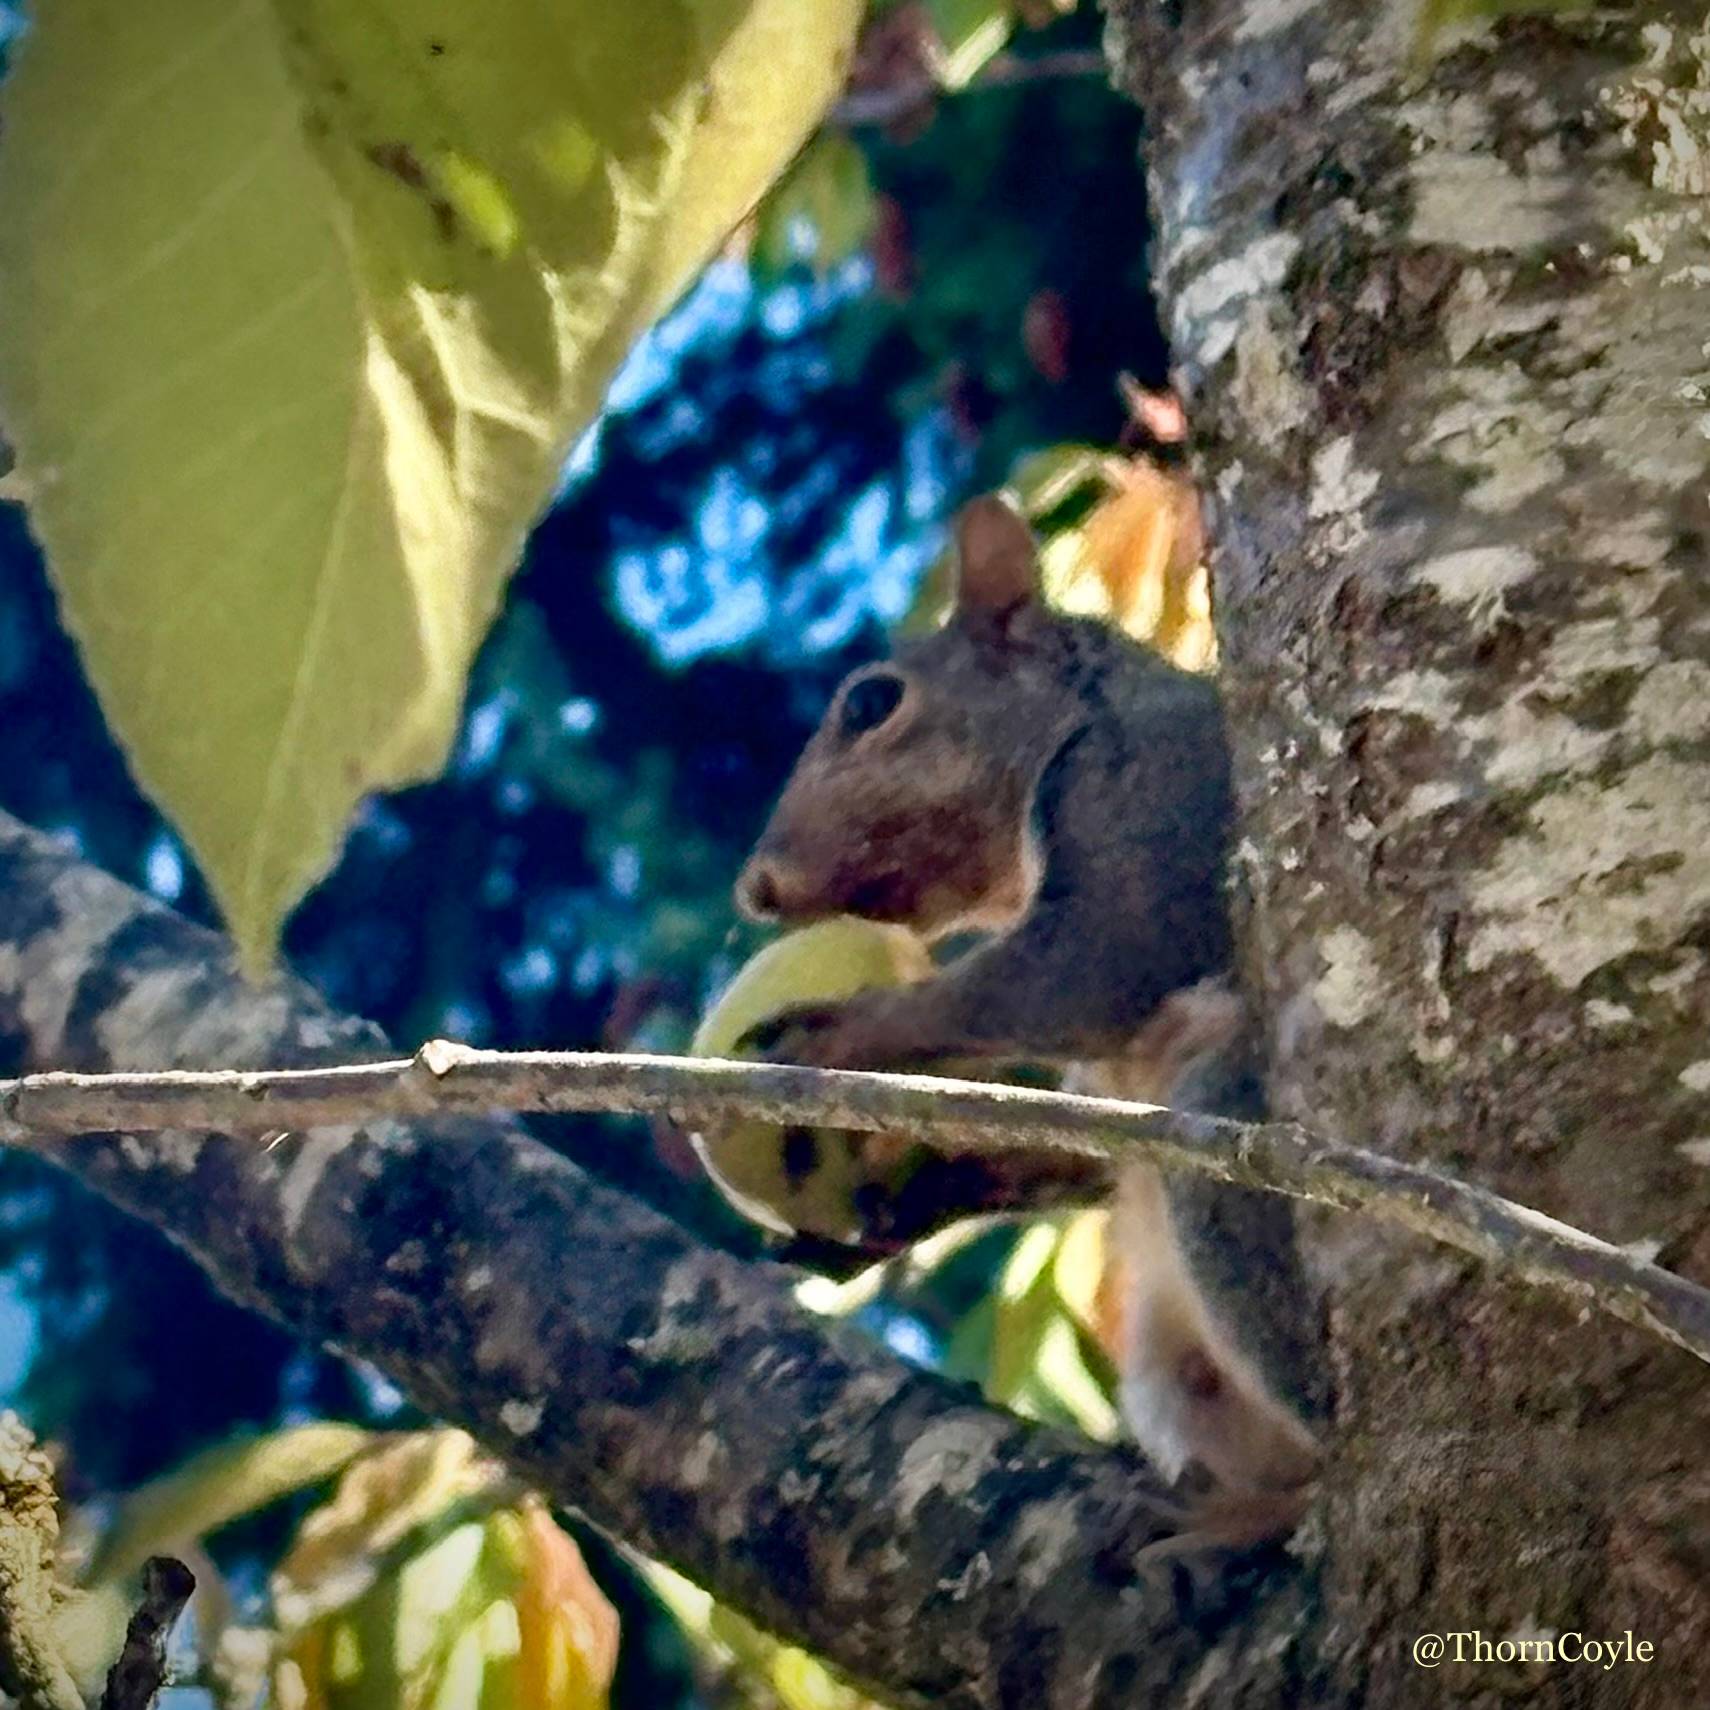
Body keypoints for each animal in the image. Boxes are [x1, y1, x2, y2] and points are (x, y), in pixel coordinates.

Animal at [733, 493, 1320, 1544]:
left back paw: (1251, 1520)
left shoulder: (1153, 808)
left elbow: (1064, 978)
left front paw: (838, 1034)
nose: (755, 888)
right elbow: (1073, 1142)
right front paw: (914, 1200)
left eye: (871, 705)